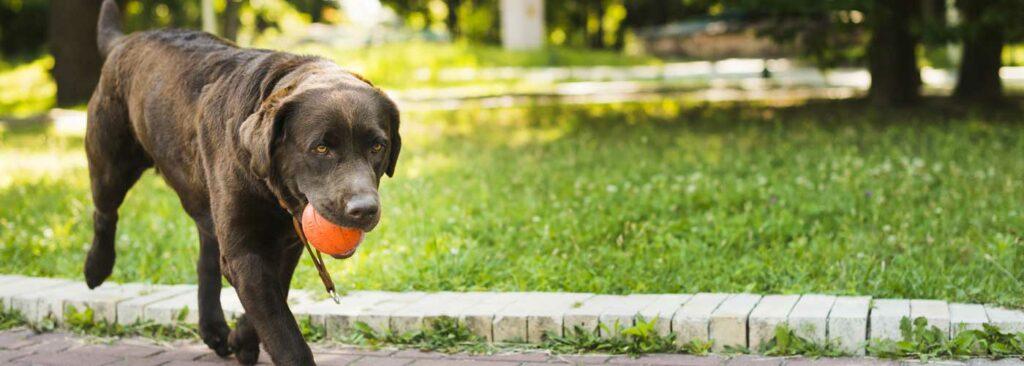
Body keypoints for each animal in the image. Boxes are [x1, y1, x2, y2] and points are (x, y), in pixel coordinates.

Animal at [82, 1, 399, 362]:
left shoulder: (285, 243)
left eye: (377, 146)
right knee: (104, 212)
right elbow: (281, 328)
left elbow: (271, 300)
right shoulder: (244, 249)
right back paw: (96, 267)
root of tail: (124, 41)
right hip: (110, 161)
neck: (272, 190)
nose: (364, 209)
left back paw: (215, 330)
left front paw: (243, 340)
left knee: (206, 256)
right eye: (321, 148)